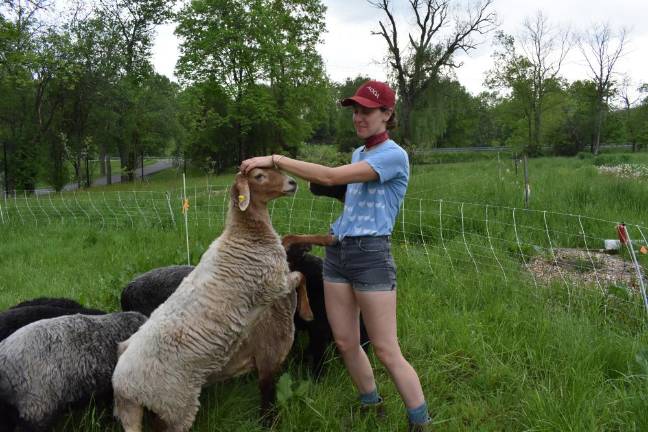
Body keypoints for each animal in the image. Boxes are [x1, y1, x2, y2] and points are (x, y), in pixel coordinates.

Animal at [111, 169, 304, 432]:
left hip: (144, 410)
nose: (292, 183)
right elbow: (298, 276)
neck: (244, 233)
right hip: (175, 407)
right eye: (259, 175)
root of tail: (123, 386)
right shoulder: (274, 284)